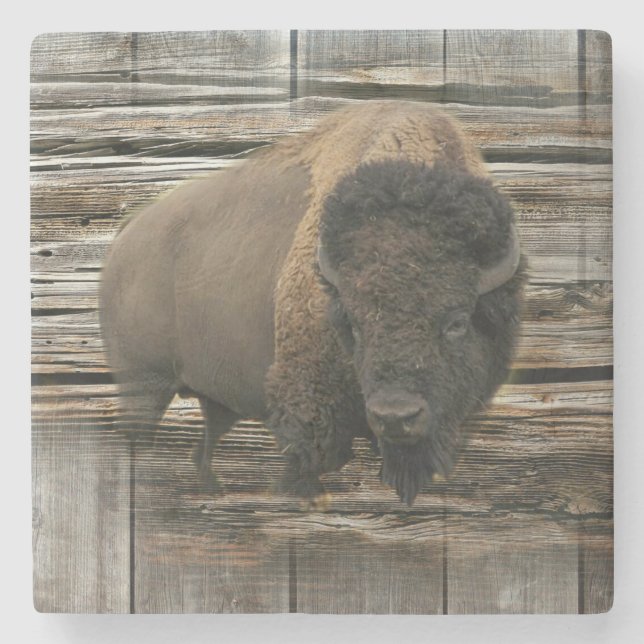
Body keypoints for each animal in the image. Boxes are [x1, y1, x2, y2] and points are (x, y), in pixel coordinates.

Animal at [100, 100, 525, 506]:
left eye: (457, 322)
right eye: (352, 323)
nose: (395, 416)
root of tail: (126, 235)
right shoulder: (309, 406)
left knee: (202, 448)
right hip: (144, 385)